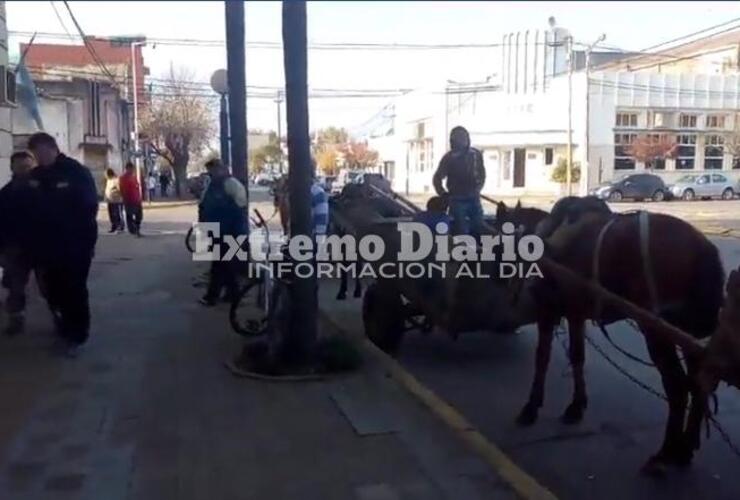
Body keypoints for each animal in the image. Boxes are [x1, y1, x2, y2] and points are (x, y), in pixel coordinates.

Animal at [498, 198, 724, 472]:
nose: (499, 278)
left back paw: (664, 454)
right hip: (686, 332)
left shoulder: (548, 310)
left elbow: (542, 359)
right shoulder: (575, 312)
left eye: (496, 243)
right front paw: (576, 407)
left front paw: (531, 408)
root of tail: (702, 247)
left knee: (677, 387)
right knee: (699, 382)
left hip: (657, 331)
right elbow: (577, 357)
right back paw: (684, 450)